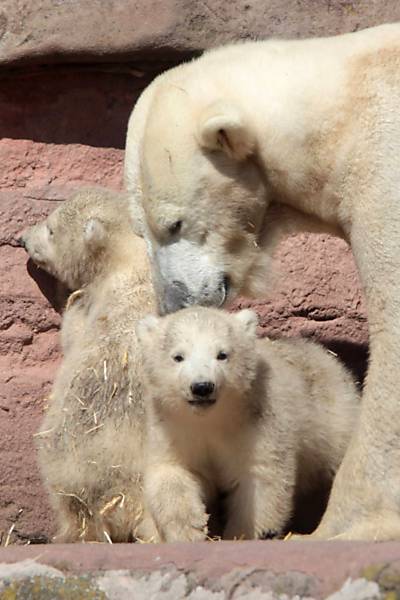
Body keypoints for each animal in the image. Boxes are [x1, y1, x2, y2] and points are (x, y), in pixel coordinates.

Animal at [20, 189, 158, 544]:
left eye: (51, 229)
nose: (22, 238)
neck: (134, 267)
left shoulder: (92, 306)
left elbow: (71, 330)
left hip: (74, 462)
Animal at [136, 308, 358, 540]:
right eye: (178, 356)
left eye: (222, 354)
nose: (202, 387)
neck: (212, 419)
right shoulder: (173, 427)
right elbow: (172, 471)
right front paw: (189, 529)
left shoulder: (258, 421)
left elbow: (261, 479)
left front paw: (240, 534)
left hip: (333, 423)